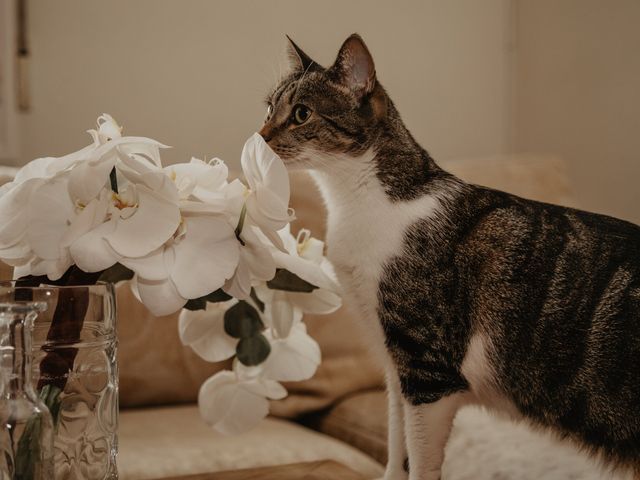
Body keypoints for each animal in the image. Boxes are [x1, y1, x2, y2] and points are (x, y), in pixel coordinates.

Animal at [258, 34, 640, 480]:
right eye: (269, 108)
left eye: (301, 114)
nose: (259, 136)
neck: (359, 202)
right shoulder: (396, 369)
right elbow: (396, 446)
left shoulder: (428, 371)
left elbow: (421, 459)